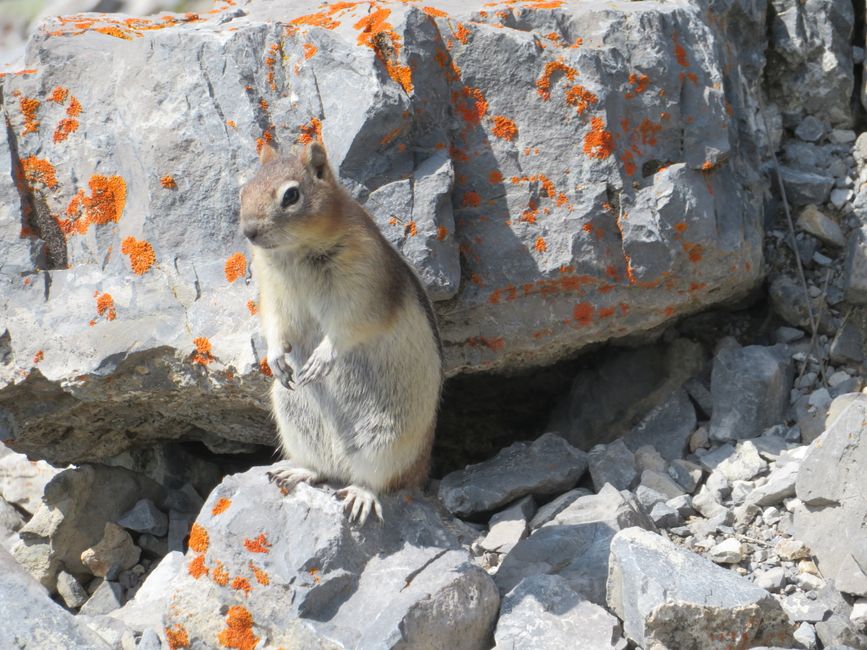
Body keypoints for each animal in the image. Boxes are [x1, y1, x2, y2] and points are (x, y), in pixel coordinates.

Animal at [239, 140, 440, 520]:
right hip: (293, 417)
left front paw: (321, 359)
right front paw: (276, 360)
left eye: (291, 195)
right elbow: (273, 323)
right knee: (323, 470)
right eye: (244, 189)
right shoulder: (271, 290)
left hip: (388, 439)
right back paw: (296, 471)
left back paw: (360, 495)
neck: (293, 254)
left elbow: (350, 326)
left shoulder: (363, 286)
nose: (249, 232)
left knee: (375, 481)